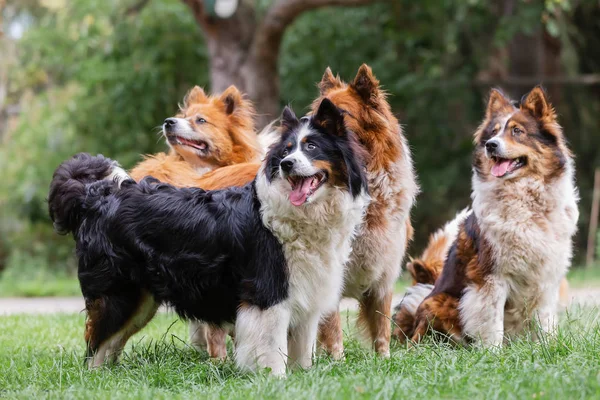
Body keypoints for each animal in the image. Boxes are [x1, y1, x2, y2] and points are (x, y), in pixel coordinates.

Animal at [49, 99, 368, 376]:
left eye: (312, 147)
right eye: (287, 151)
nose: (287, 164)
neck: (306, 213)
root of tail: (96, 195)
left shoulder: (305, 294)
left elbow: (301, 351)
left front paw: (301, 378)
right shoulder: (267, 293)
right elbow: (271, 350)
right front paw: (275, 380)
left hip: (141, 300)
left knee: (109, 343)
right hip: (117, 294)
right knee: (96, 343)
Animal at [396, 88, 580, 346]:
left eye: (517, 131)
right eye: (493, 133)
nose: (491, 146)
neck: (525, 199)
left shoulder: (547, 276)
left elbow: (544, 320)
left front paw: (548, 347)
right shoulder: (490, 276)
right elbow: (492, 321)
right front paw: (493, 351)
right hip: (439, 303)